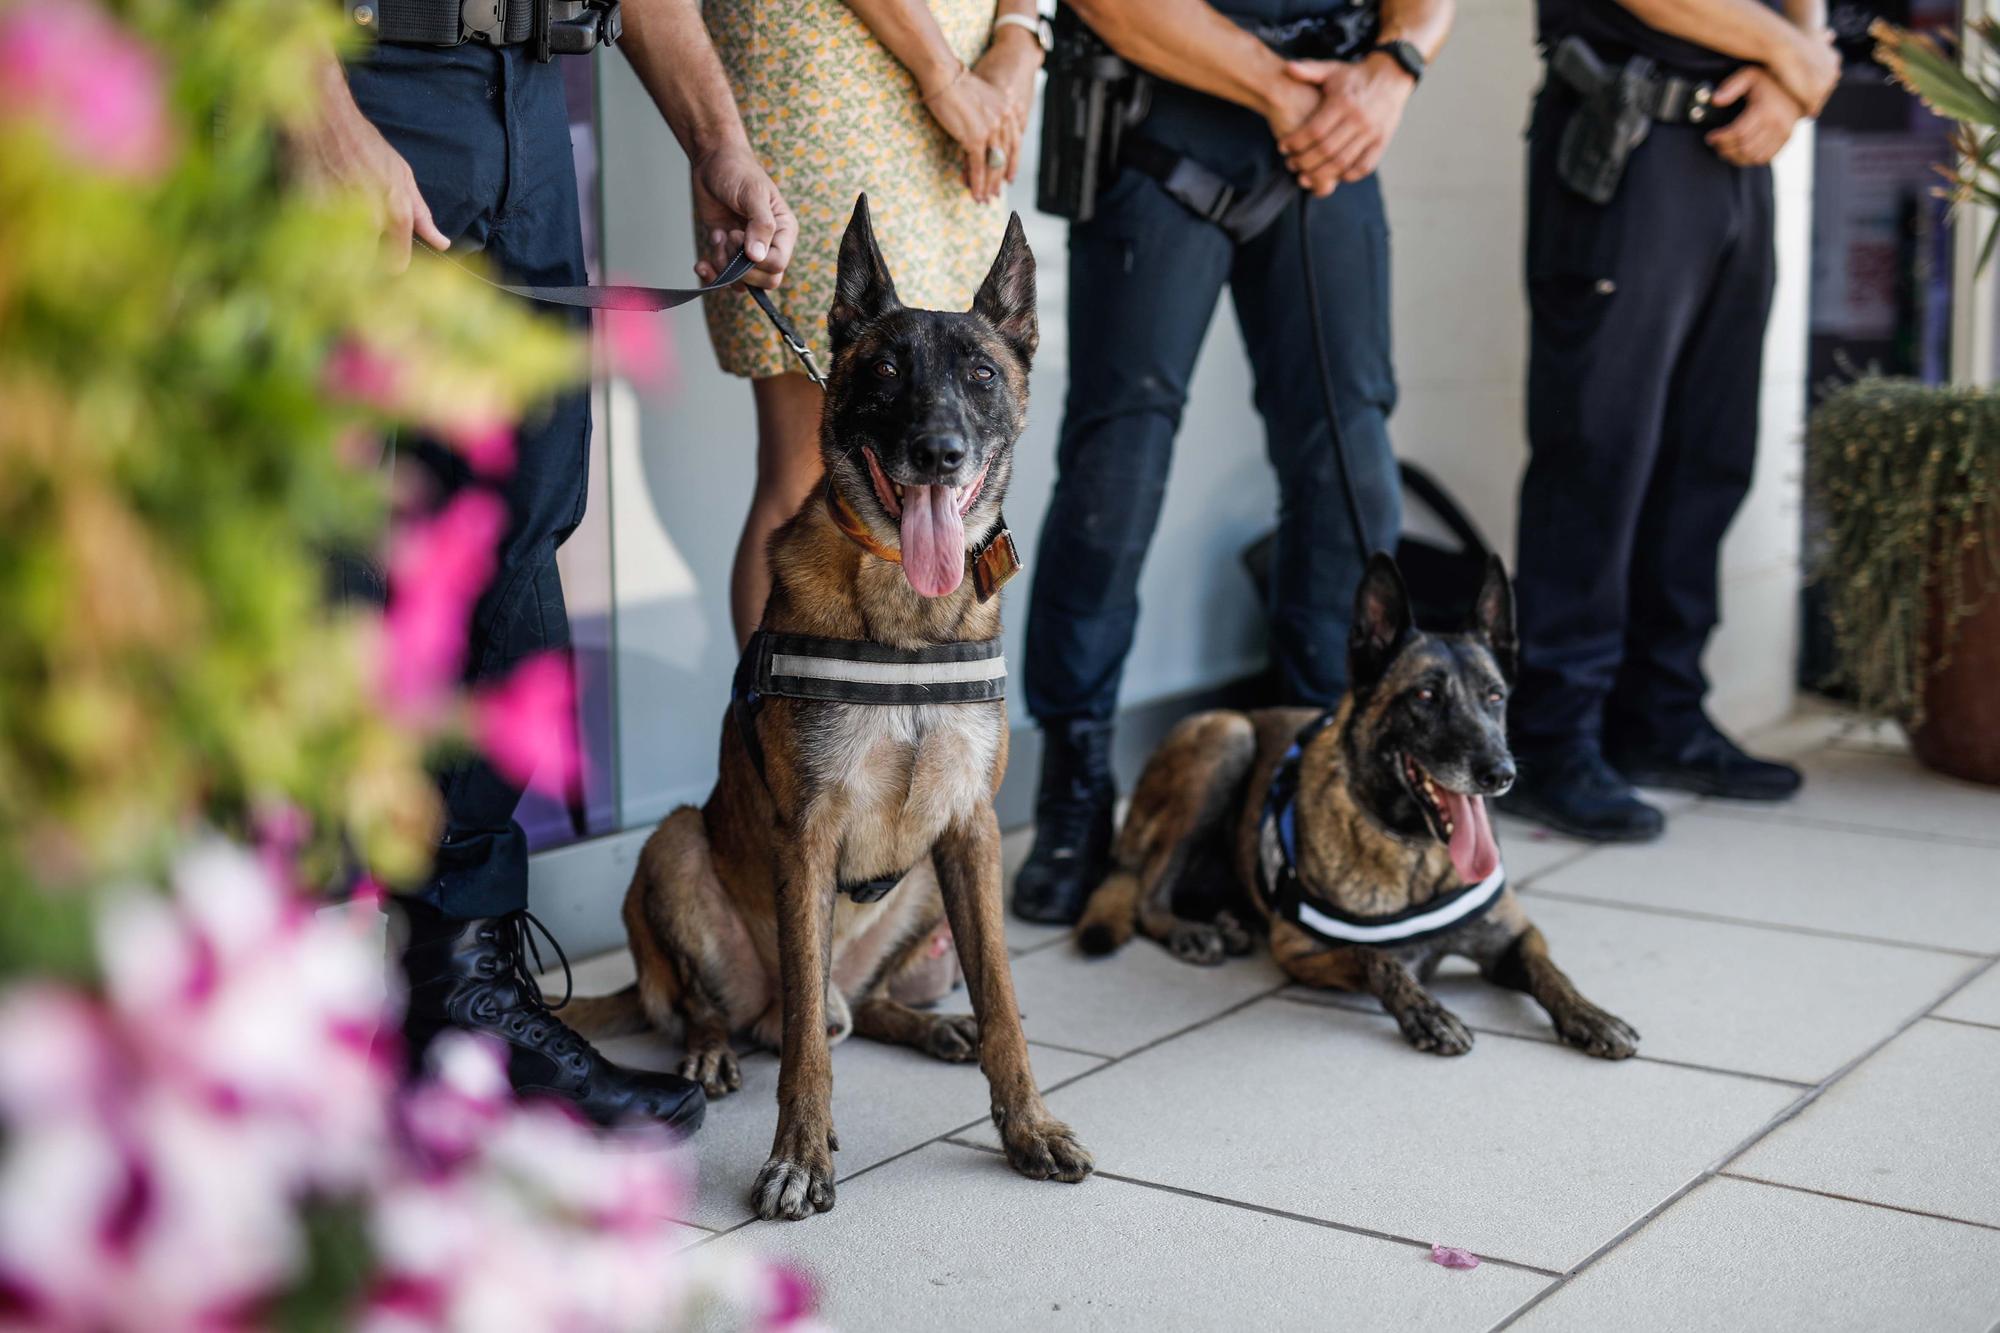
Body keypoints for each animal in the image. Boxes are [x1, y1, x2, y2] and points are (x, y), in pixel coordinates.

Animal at [564, 195, 1096, 1216]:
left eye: (980, 374)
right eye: (884, 372)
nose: (938, 453)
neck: (905, 610)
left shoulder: (971, 829)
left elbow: (1006, 1001)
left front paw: (1028, 1123)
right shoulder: (804, 833)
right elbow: (808, 1040)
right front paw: (800, 1156)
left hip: (926, 887)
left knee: (873, 1002)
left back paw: (931, 1026)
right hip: (674, 845)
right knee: (730, 1008)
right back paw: (709, 1052)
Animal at [1080, 548, 1640, 1056]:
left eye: (1495, 696)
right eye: (1425, 697)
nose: (1499, 774)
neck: (1415, 851)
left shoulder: (1513, 938)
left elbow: (1551, 971)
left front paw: (1590, 1015)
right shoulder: (1300, 949)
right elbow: (1378, 959)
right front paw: (1427, 1013)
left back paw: (1225, 921)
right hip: (1227, 736)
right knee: (1149, 892)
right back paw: (1190, 932)